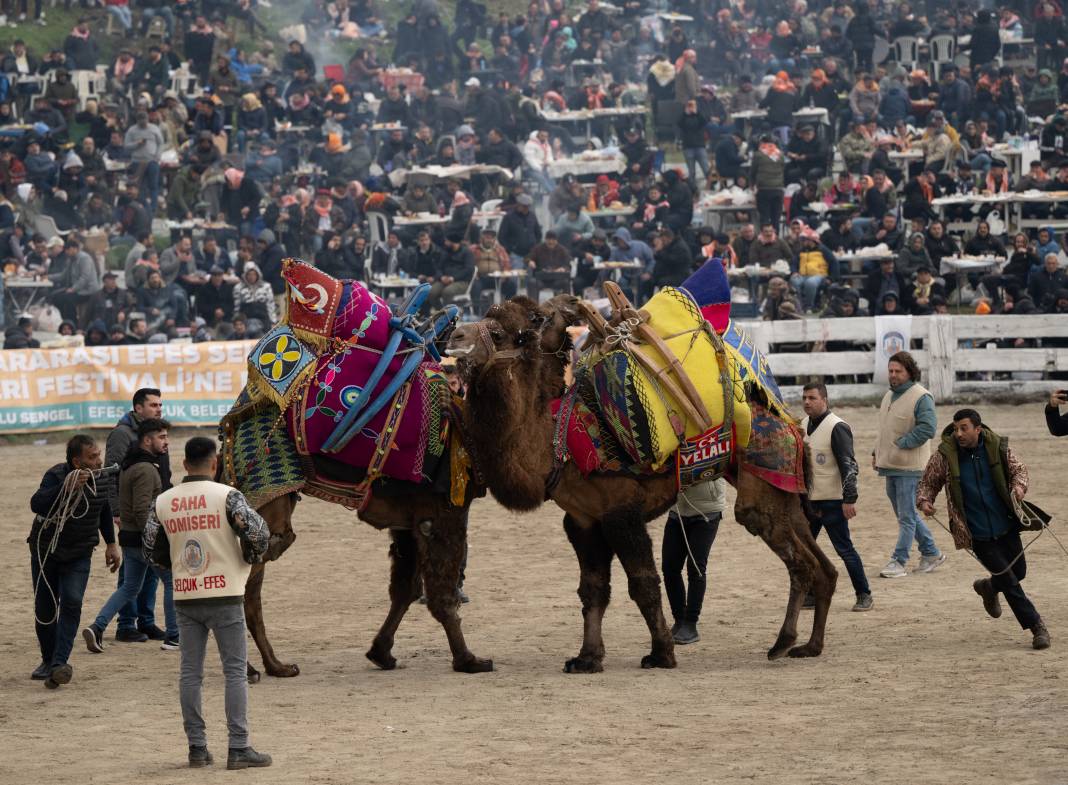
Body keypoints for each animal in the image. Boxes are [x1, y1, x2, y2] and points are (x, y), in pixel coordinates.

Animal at [446, 296, 837, 670]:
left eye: (514, 330)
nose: (454, 337)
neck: (559, 442)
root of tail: (790, 423)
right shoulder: (583, 521)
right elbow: (593, 589)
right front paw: (587, 658)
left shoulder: (622, 513)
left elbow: (644, 584)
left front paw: (661, 654)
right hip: (780, 484)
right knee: (824, 566)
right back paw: (811, 646)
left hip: (760, 490)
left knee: (799, 562)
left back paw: (783, 643)